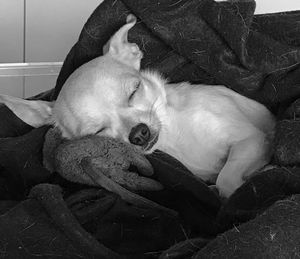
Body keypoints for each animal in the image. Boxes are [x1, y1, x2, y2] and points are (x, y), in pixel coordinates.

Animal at [0, 15, 276, 199]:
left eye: (134, 91)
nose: (139, 134)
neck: (175, 137)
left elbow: (226, 179)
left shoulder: (253, 139)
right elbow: (220, 180)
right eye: (97, 132)